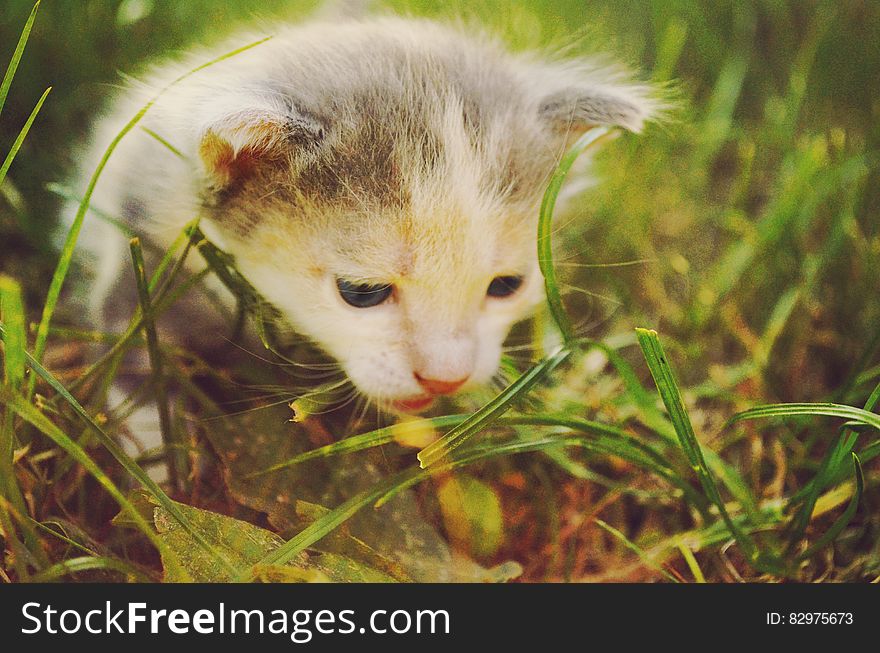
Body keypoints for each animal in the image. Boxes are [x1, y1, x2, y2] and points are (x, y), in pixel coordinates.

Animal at [70, 15, 660, 418]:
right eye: (362, 292)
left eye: (506, 286)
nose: (445, 379)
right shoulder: (140, 228)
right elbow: (132, 344)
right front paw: (154, 448)